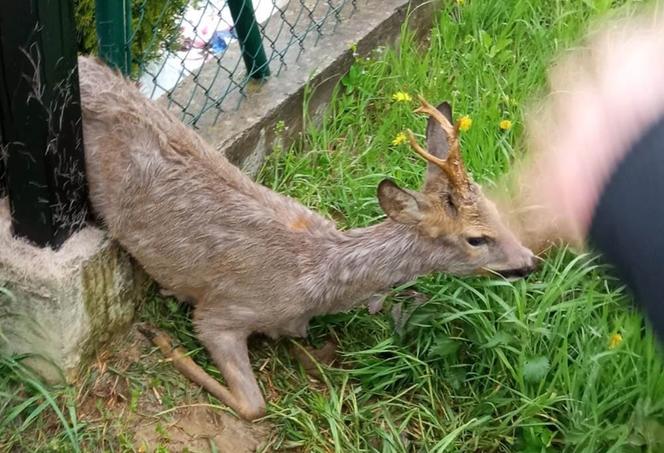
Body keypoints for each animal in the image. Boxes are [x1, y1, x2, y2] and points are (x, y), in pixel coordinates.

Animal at [78, 56, 536, 420]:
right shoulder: (222, 310)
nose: (531, 261)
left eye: (497, 210)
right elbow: (254, 405)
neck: (315, 278)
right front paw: (160, 336)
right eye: (476, 238)